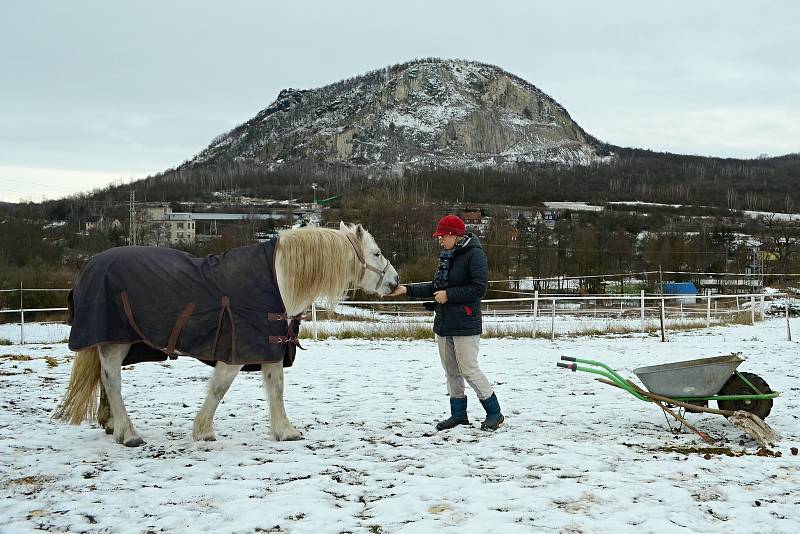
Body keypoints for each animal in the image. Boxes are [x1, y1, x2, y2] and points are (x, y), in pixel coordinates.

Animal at [54, 222, 398, 448]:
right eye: (377, 253)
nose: (395, 282)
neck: (278, 279)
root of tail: (89, 267)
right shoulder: (237, 350)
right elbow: (219, 389)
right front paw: (203, 431)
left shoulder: (268, 346)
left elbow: (276, 388)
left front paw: (284, 431)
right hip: (116, 342)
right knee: (112, 380)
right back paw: (129, 434)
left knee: (104, 378)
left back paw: (112, 425)